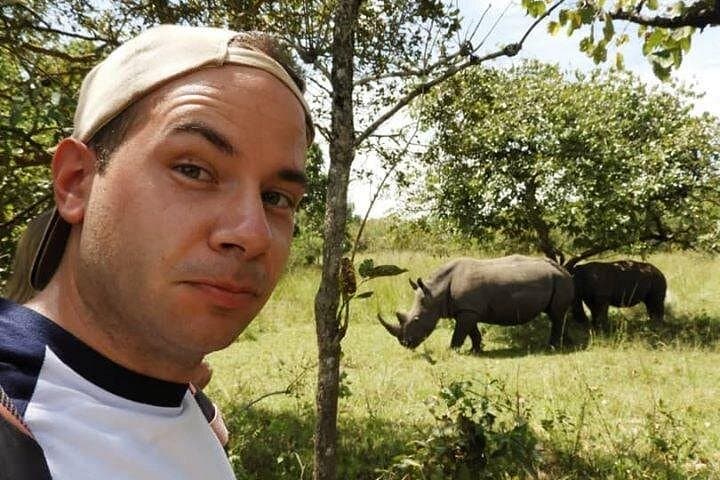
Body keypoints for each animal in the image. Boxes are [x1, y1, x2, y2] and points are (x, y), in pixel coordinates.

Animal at [378, 255, 575, 352]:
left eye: (417, 320)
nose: (405, 344)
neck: (435, 291)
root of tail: (565, 270)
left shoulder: (468, 310)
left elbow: (459, 334)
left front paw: (451, 351)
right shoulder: (467, 310)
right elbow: (472, 333)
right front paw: (475, 350)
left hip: (560, 280)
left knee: (556, 315)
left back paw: (552, 348)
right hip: (557, 279)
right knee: (556, 315)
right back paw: (567, 345)